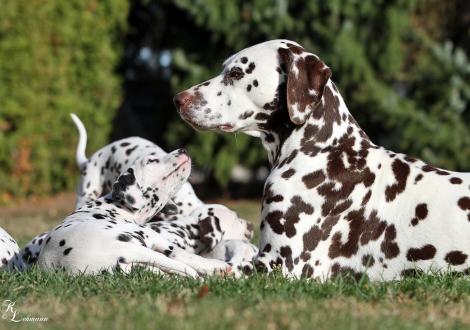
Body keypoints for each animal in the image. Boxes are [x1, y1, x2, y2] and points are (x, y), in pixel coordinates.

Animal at [37, 149, 234, 276]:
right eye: (152, 161)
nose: (183, 149)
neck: (117, 206)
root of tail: (115, 248)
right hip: (155, 239)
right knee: (181, 255)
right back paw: (217, 267)